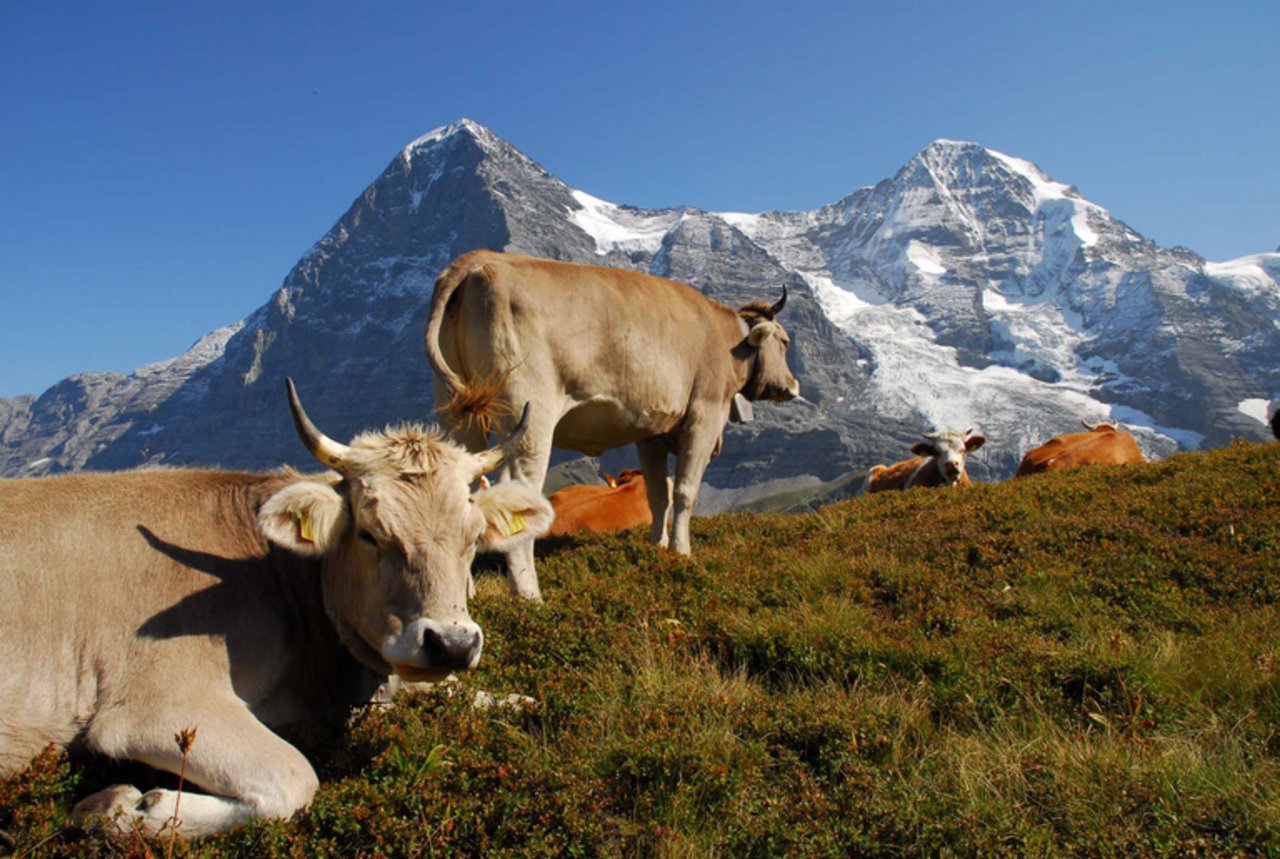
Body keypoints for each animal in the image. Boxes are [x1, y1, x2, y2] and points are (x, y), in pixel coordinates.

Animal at [0, 378, 547, 834]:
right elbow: (294, 778)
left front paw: (517, 701)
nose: (452, 644)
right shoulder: (153, 707)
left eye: (474, 536)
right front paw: (119, 808)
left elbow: (504, 698)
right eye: (370, 534)